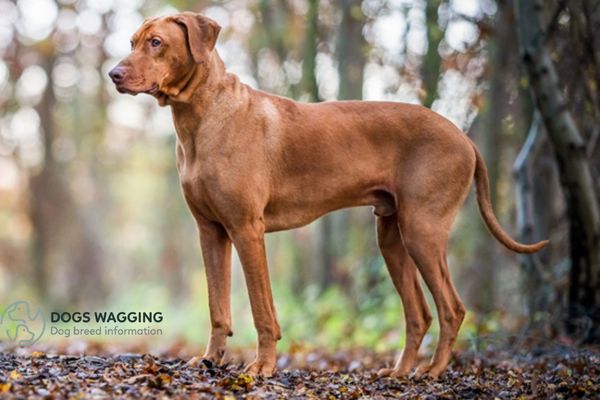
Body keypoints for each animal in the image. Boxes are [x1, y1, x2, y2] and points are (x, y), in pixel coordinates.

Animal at [109, 11, 548, 378]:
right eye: (132, 41)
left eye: (156, 42)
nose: (113, 73)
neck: (202, 117)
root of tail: (463, 137)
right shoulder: (211, 231)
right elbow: (218, 308)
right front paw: (210, 360)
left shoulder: (246, 228)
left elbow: (262, 310)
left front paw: (262, 367)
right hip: (391, 234)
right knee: (419, 313)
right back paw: (399, 371)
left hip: (422, 229)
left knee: (452, 308)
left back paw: (433, 372)